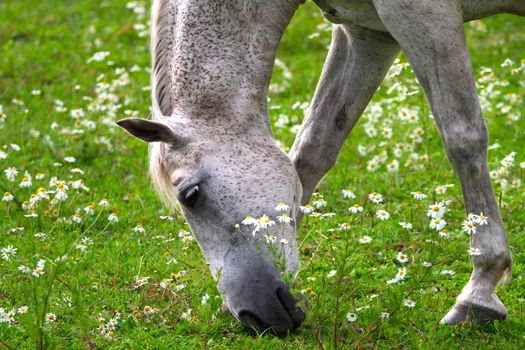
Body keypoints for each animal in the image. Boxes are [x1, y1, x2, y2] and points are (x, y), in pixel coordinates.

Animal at [118, 0, 524, 336]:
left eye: (191, 196)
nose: (255, 316)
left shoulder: (424, 16)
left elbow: (463, 138)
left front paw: (479, 292)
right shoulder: (367, 34)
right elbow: (314, 149)